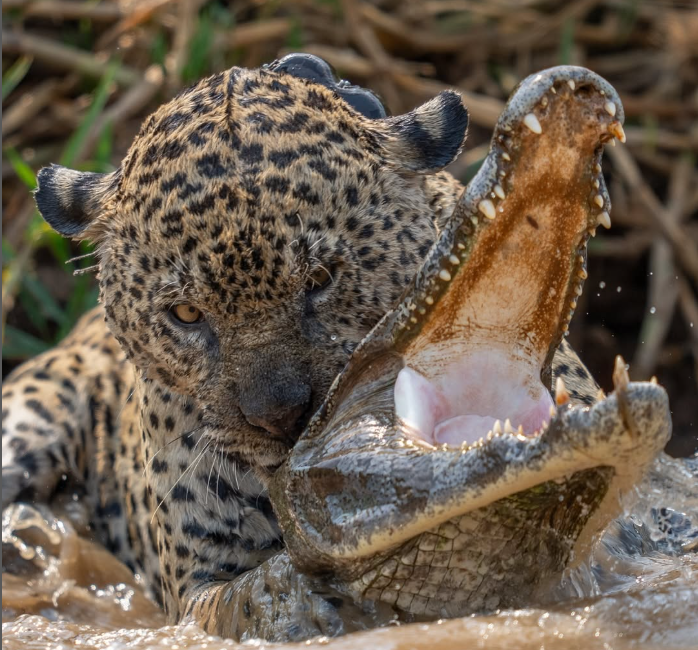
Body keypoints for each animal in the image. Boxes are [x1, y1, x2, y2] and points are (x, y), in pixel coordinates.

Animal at [1, 55, 599, 640]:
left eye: (321, 279)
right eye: (186, 314)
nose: (280, 417)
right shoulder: (193, 587)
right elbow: (234, 604)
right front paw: (298, 602)